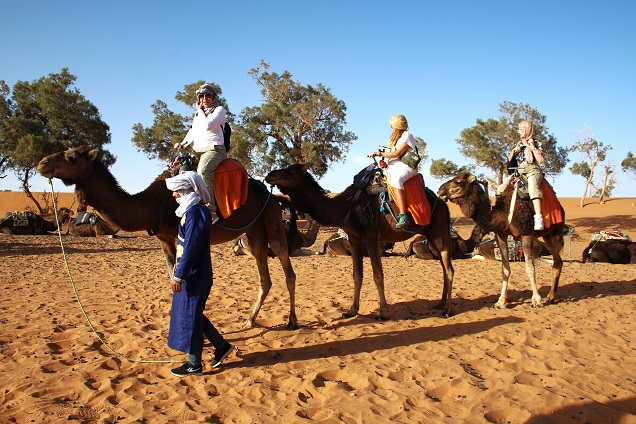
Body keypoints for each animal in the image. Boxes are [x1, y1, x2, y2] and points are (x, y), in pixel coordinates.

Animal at [37, 146, 298, 328]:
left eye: (72, 156)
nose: (42, 163)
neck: (151, 204)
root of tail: (271, 194)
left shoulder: (177, 235)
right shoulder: (163, 240)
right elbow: (172, 279)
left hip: (271, 218)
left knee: (287, 268)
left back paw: (292, 321)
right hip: (254, 232)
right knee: (264, 278)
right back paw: (250, 320)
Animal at [266, 164, 454, 320]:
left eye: (291, 171)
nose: (270, 174)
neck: (344, 207)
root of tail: (443, 204)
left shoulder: (371, 236)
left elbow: (378, 274)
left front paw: (383, 312)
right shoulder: (354, 238)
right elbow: (357, 274)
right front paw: (351, 310)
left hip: (439, 232)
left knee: (449, 268)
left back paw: (447, 310)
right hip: (430, 235)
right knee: (444, 267)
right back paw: (440, 304)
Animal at [438, 171, 568, 308]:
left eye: (458, 181)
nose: (440, 189)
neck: (503, 214)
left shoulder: (526, 234)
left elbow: (530, 268)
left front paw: (536, 301)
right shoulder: (501, 235)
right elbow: (505, 269)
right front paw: (500, 302)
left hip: (556, 231)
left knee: (557, 262)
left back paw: (551, 296)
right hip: (547, 235)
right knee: (558, 261)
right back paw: (551, 296)